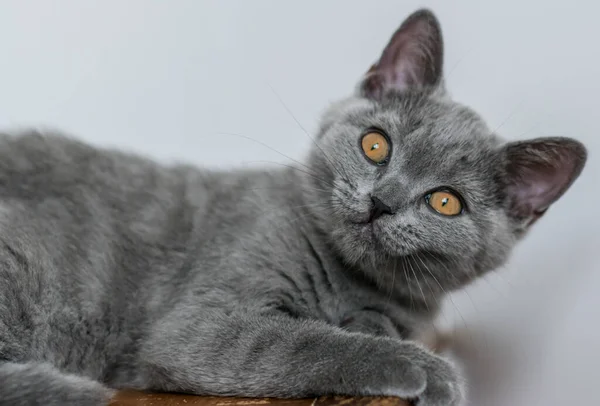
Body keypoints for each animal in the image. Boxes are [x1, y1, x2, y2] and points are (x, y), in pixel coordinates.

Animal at [0, 7, 584, 406]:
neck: (346, 278)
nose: (383, 201)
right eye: (377, 145)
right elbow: (307, 343)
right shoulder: (204, 322)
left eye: (444, 201)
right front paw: (426, 368)